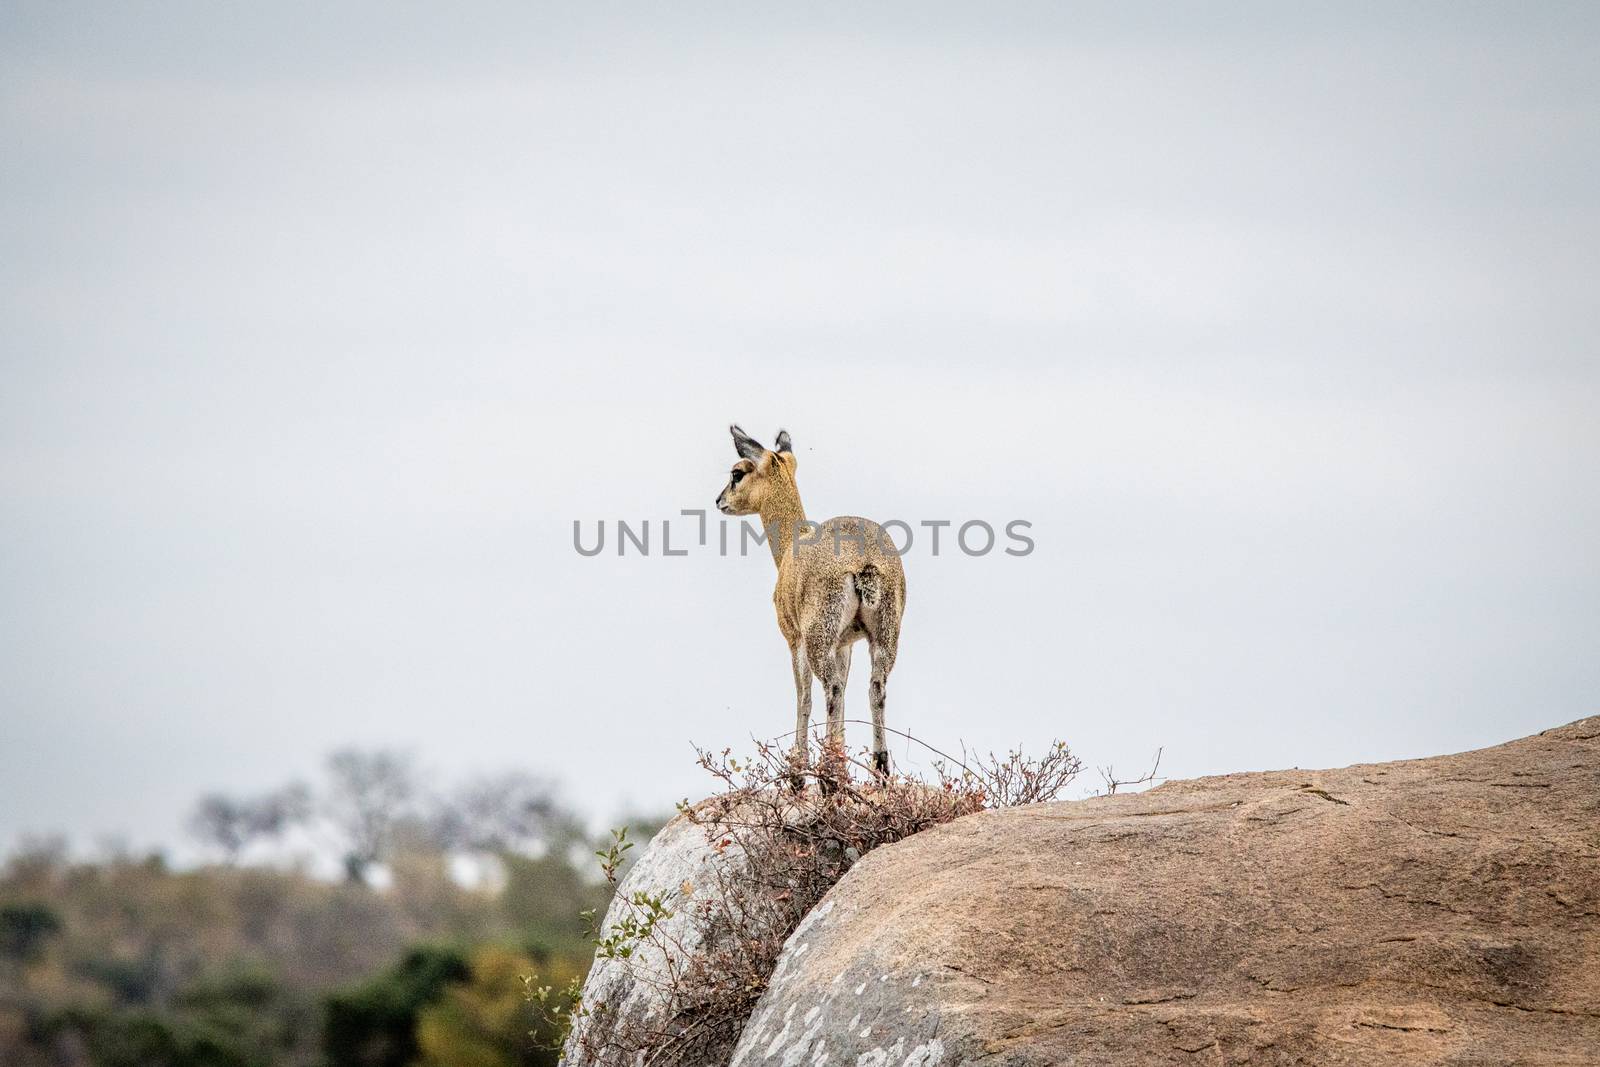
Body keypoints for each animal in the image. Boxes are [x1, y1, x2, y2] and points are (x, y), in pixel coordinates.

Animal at [716, 425, 908, 783]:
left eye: (737, 473)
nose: (719, 500)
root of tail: (863, 561)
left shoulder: (795, 640)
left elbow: (802, 696)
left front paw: (798, 770)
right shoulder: (845, 643)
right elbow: (844, 690)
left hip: (819, 638)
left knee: (829, 688)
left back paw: (828, 775)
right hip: (884, 637)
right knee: (873, 687)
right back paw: (878, 766)